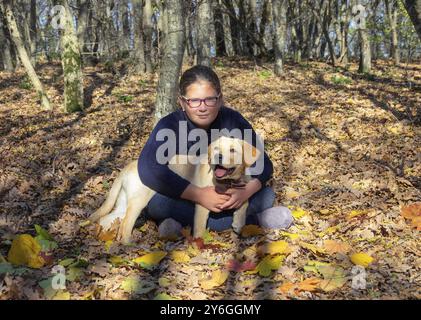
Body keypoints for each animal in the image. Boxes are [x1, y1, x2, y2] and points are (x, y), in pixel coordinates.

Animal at [88, 134, 258, 242]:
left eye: (233, 150)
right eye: (216, 149)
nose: (218, 157)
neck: (227, 182)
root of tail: (127, 167)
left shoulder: (242, 191)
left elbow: (245, 202)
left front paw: (238, 223)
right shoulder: (203, 204)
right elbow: (200, 228)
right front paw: (199, 245)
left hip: (124, 202)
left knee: (108, 218)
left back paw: (103, 234)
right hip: (138, 201)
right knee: (126, 224)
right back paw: (128, 244)